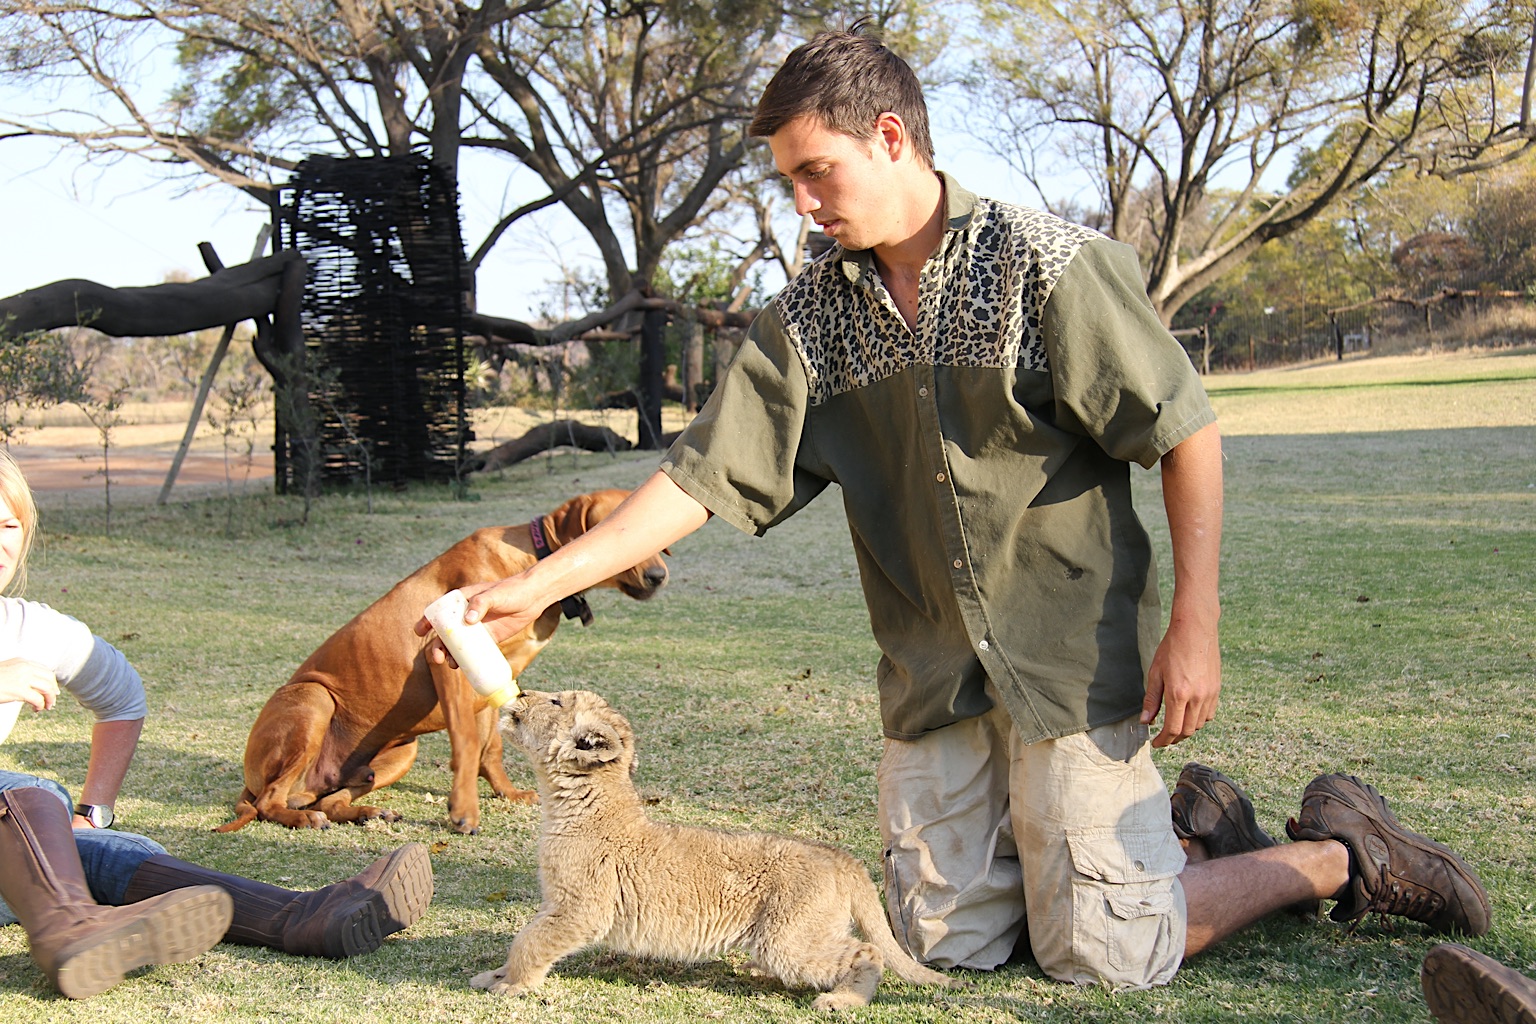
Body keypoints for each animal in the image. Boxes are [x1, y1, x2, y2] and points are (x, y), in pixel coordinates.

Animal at [217, 490, 668, 835]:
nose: (659, 576)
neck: (532, 561)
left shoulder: (495, 685)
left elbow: (490, 748)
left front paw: (506, 792)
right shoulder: (446, 663)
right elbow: (468, 743)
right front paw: (464, 809)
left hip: (399, 753)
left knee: (330, 800)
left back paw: (364, 811)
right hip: (315, 699)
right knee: (269, 803)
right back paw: (302, 817)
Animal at [471, 689, 954, 1011]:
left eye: (555, 702)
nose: (520, 692)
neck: (575, 802)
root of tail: (838, 856)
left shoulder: (580, 907)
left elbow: (531, 940)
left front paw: (510, 984)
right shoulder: (561, 903)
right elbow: (526, 936)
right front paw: (496, 975)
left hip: (787, 940)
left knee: (866, 953)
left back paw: (843, 1001)